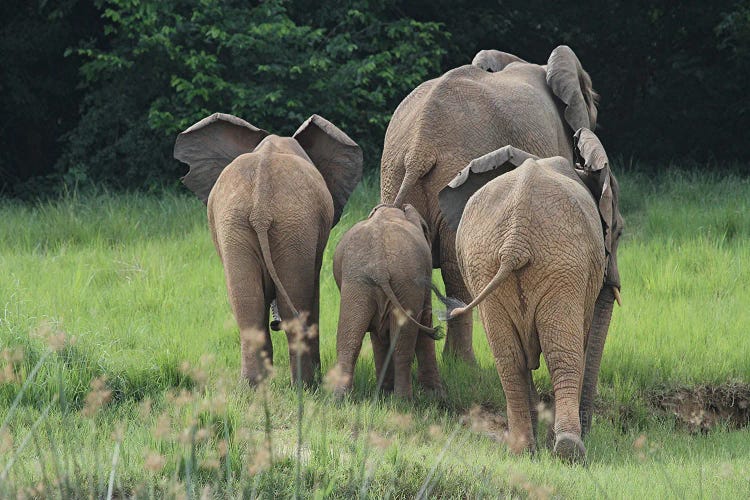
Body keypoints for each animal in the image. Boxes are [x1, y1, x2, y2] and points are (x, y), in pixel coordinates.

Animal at [176, 114, 364, 386]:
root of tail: (260, 206)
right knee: (287, 302)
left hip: (252, 224)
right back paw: (302, 385)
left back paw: (257, 386)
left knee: (250, 304)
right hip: (283, 224)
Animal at [332, 203, 444, 398]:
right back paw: (403, 400)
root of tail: (380, 266)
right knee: (403, 343)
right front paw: (436, 395)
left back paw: (339, 399)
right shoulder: (425, 274)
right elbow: (425, 319)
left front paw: (385, 394)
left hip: (359, 281)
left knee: (349, 338)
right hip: (405, 279)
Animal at [382, 45, 600, 364]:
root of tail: (419, 146)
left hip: (393, 170)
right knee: (453, 266)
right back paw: (464, 364)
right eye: (593, 99)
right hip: (449, 167)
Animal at [438, 127, 624, 462]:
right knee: (563, 351)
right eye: (618, 232)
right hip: (563, 265)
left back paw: (522, 449)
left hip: (485, 262)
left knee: (508, 358)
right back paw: (569, 449)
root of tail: (516, 236)